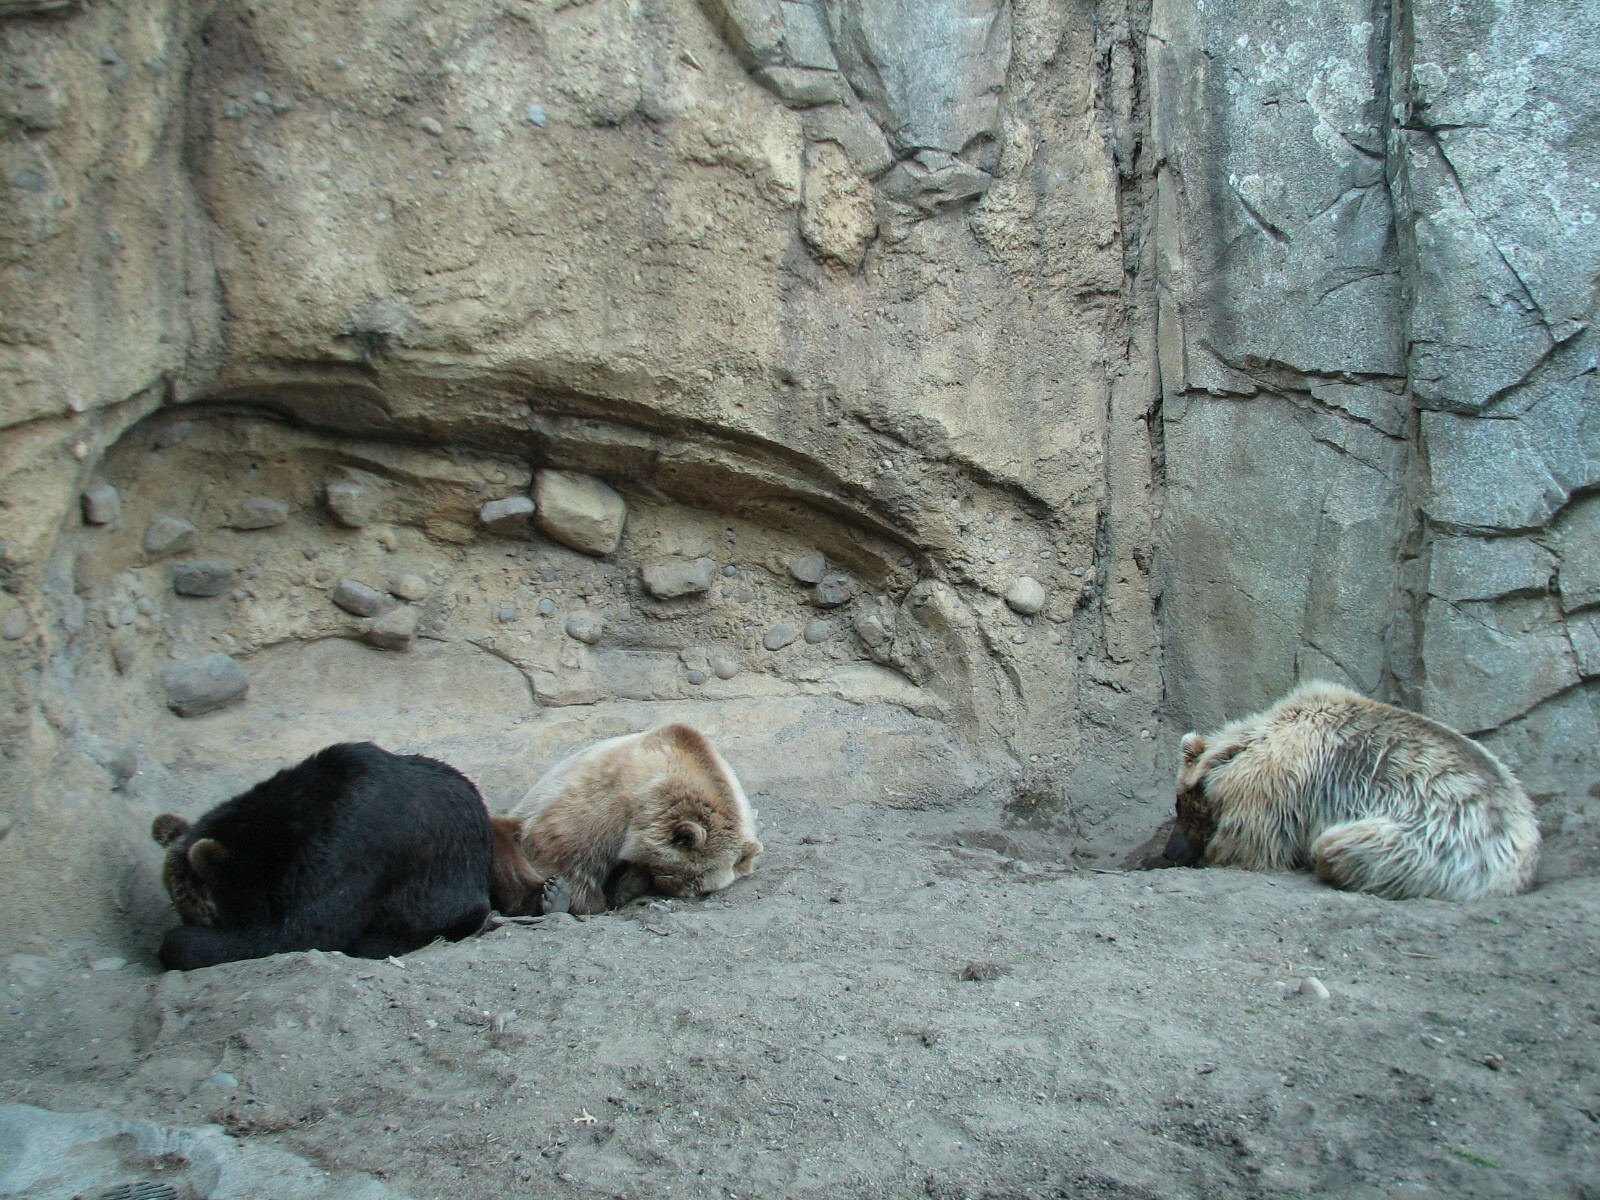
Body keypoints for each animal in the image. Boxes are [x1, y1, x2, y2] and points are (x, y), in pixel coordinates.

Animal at [497, 723, 763, 916]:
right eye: (688, 879)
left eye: (701, 887)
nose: (672, 892)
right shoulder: (606, 802)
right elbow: (566, 849)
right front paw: (577, 899)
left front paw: (625, 889)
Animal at [1164, 681, 1540, 901]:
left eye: (1180, 806)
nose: (1170, 852)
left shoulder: (1270, 788)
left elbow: (1247, 843)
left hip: (1434, 840)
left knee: (1347, 846)